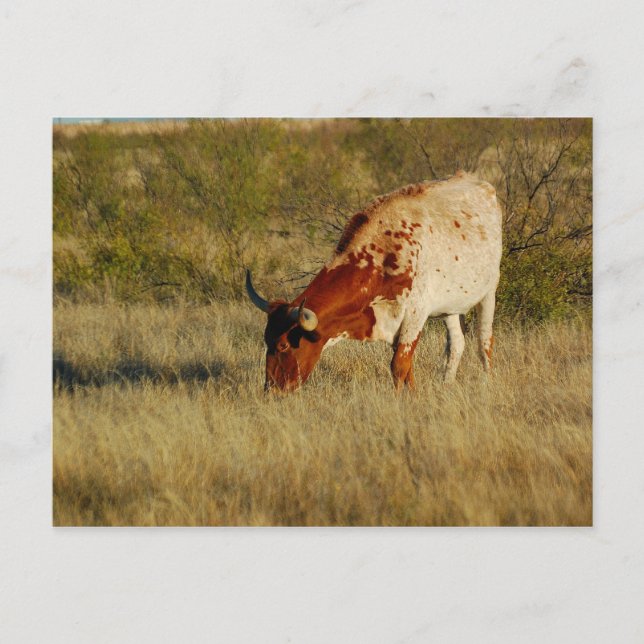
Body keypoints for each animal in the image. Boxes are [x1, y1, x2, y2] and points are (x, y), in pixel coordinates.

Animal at [245, 171, 502, 392]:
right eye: (267, 340)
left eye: (283, 345)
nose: (272, 390)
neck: (383, 251)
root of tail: (480, 183)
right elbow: (407, 369)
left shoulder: (415, 315)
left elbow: (399, 366)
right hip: (451, 305)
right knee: (457, 344)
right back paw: (446, 384)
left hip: (489, 292)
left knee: (484, 343)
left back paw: (487, 383)